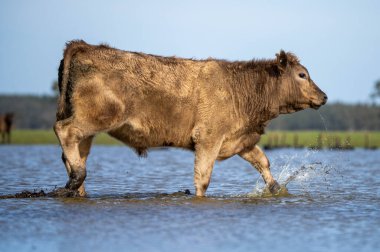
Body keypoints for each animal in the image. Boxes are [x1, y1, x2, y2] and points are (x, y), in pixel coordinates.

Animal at [53, 39, 326, 197]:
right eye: (302, 75)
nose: (323, 96)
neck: (241, 90)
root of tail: (86, 45)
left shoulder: (242, 140)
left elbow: (263, 162)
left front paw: (277, 189)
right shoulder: (208, 139)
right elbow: (203, 179)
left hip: (89, 127)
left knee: (74, 154)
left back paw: (77, 187)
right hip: (97, 117)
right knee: (64, 131)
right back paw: (76, 178)